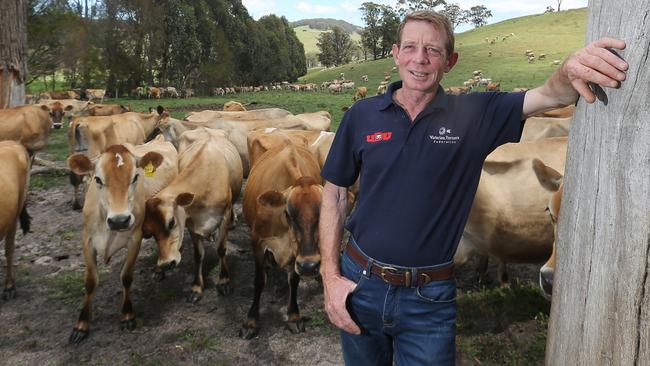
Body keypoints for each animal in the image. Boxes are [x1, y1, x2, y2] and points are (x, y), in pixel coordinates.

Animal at [143, 127, 242, 302]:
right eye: (149, 232)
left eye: (171, 222)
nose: (165, 264)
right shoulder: (191, 223)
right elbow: (198, 255)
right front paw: (196, 288)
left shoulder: (224, 215)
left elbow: (221, 249)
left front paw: (224, 281)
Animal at [240, 144, 324, 340]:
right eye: (288, 213)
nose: (309, 266)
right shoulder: (258, 242)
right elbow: (259, 281)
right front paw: (251, 321)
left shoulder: (296, 253)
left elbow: (294, 279)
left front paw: (293, 316)